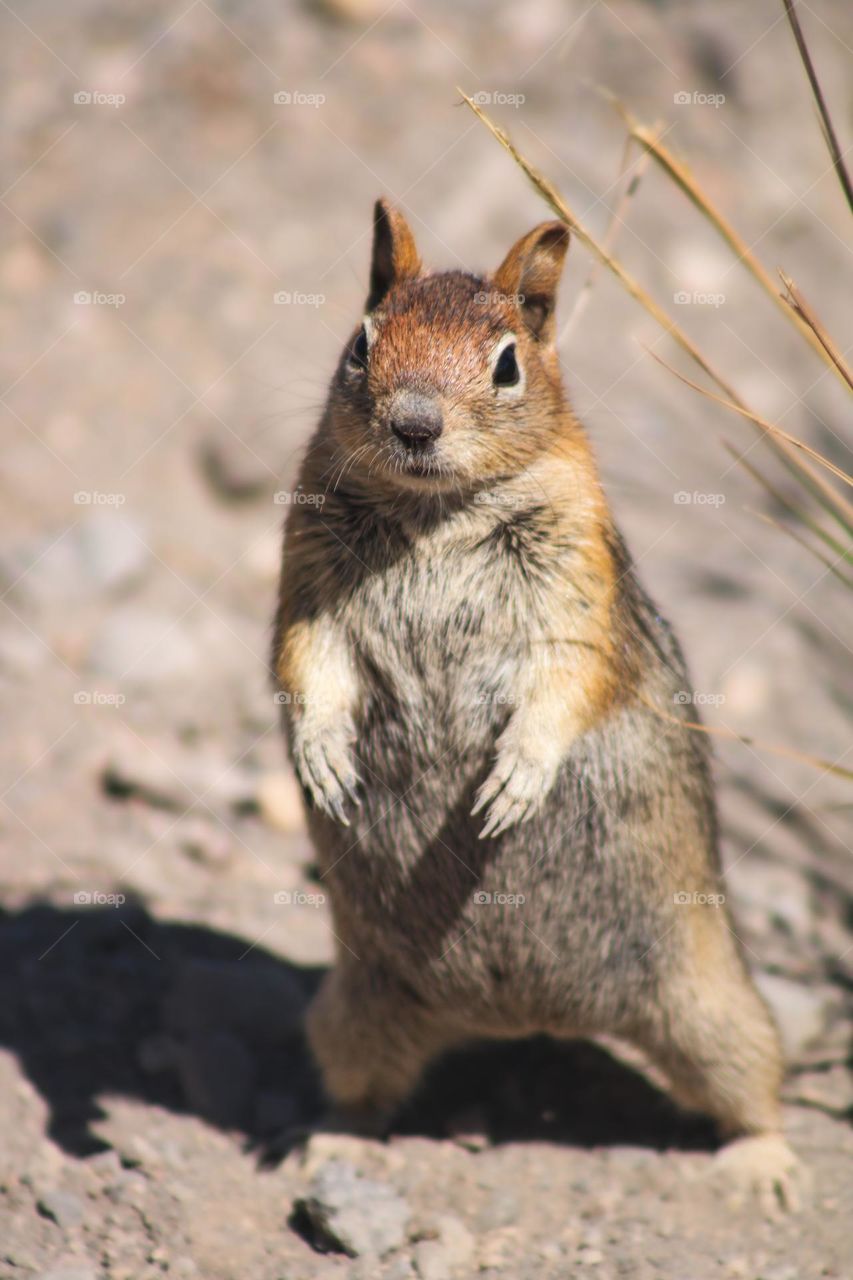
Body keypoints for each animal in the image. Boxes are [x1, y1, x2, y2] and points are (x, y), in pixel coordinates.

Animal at [273, 199, 804, 1209]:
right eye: (361, 344)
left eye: (507, 363)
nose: (413, 424)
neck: (433, 512)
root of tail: (521, 1018)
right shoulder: (308, 573)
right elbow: (306, 661)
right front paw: (322, 759)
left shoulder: (574, 578)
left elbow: (566, 679)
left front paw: (513, 781)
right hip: (355, 1012)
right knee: (363, 1087)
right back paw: (328, 1145)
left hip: (713, 1006)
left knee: (754, 1082)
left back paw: (761, 1166)